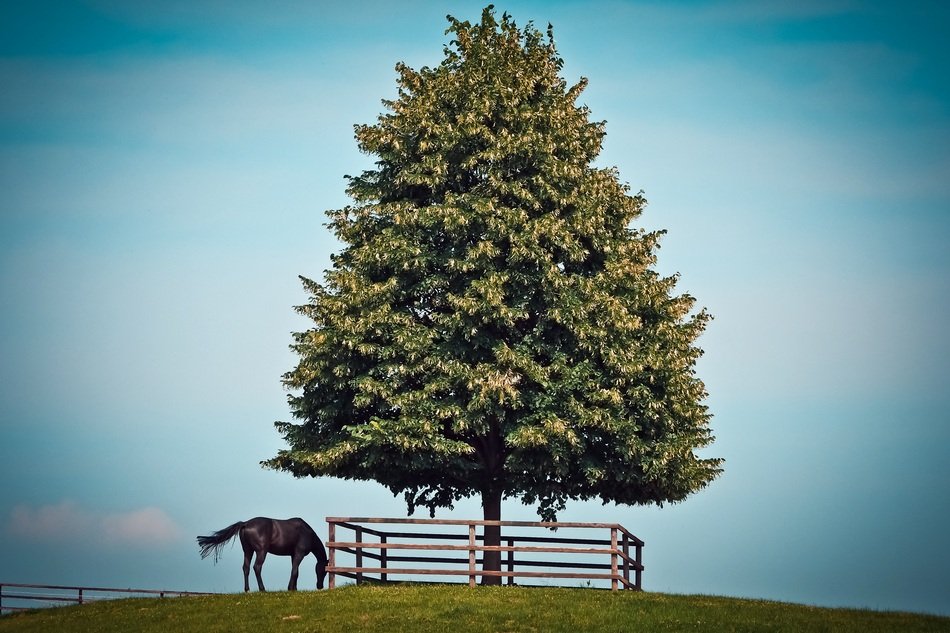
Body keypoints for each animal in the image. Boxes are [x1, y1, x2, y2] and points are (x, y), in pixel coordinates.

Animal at [197, 517, 328, 592]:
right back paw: (262, 589)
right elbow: (294, 571)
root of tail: (245, 523)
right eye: (324, 570)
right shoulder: (299, 554)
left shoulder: (293, 555)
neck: (307, 533)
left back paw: (247, 589)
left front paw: (294, 589)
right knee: (257, 567)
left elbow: (295, 571)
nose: (320, 586)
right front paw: (290, 588)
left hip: (248, 551)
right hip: (261, 552)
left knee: (246, 568)